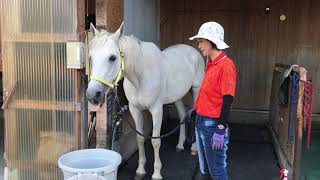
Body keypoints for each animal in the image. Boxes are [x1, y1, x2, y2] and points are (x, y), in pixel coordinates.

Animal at [86, 23, 204, 179]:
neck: (141, 76)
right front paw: (140, 170)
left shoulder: (157, 110)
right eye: (91, 57)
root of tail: (194, 52)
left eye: (112, 57)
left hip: (196, 90)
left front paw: (157, 173)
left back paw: (194, 149)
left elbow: (155, 141)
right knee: (182, 115)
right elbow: (140, 139)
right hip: (177, 96)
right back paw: (179, 145)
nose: (92, 94)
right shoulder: (135, 109)